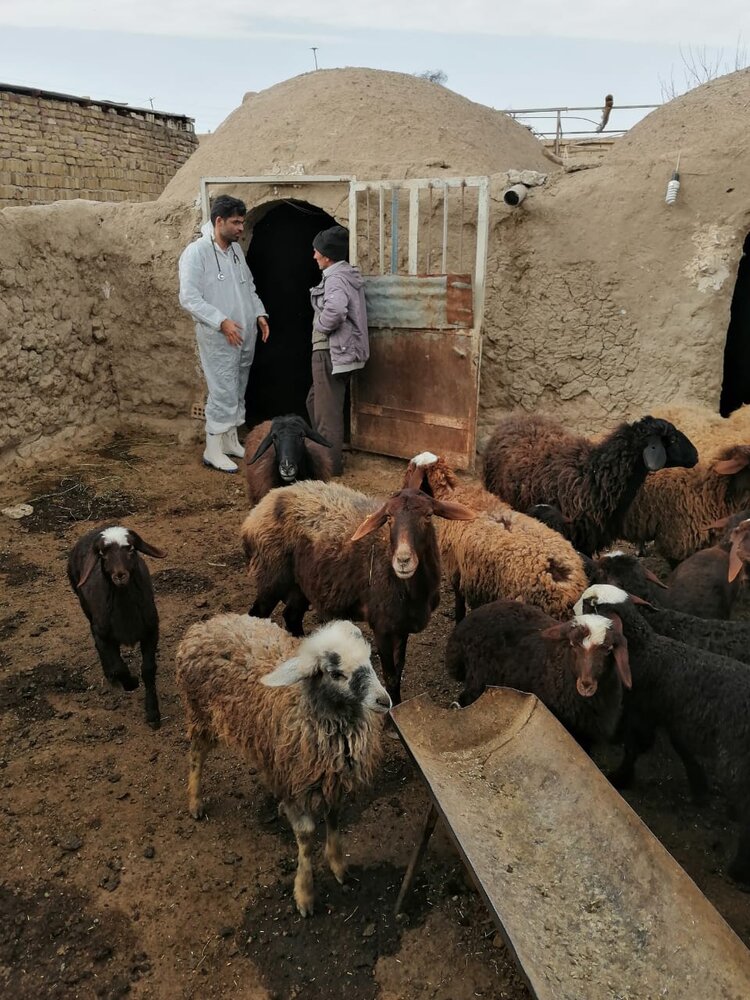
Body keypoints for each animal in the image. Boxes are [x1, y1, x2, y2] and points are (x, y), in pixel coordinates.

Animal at [67, 524, 166, 729]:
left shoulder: (151, 631)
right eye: (103, 554)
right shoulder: (103, 635)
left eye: (130, 548)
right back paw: (111, 676)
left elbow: (148, 669)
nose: (120, 575)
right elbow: (118, 667)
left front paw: (153, 713)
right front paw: (131, 683)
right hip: (87, 610)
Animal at [175, 615, 391, 917]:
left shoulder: (331, 780)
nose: (384, 700)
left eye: (370, 660)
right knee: (196, 756)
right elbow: (306, 837)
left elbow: (334, 818)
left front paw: (338, 865)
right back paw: (195, 801)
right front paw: (305, 893)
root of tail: (204, 626)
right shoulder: (297, 782)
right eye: (336, 673)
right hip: (200, 714)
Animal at [241, 481, 476, 705]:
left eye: (428, 516)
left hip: (301, 585)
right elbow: (390, 676)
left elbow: (399, 669)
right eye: (389, 518)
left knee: (292, 617)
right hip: (271, 579)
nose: (403, 560)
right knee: (256, 615)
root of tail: (262, 505)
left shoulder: (401, 624)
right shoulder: (382, 625)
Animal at [574, 583, 750, 886]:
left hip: (737, 764)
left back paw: (739, 870)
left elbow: (636, 746)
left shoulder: (642, 712)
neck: (645, 651)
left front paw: (620, 777)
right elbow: (681, 748)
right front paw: (699, 788)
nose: (572, 609)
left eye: (592, 604)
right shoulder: (672, 716)